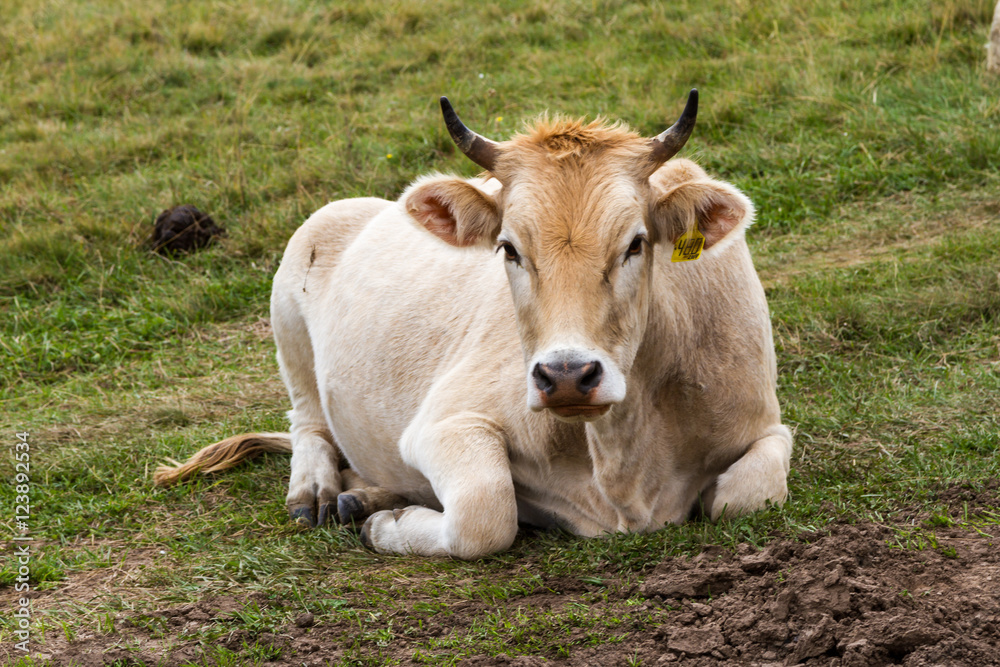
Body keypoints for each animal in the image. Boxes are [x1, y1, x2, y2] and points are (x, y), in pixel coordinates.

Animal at [154, 88, 788, 560]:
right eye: (509, 248)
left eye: (635, 243)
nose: (565, 375)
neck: (624, 464)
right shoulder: (441, 423)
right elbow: (486, 513)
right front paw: (388, 528)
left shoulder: (768, 425)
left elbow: (745, 495)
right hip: (291, 306)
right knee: (309, 424)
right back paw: (321, 492)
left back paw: (365, 496)